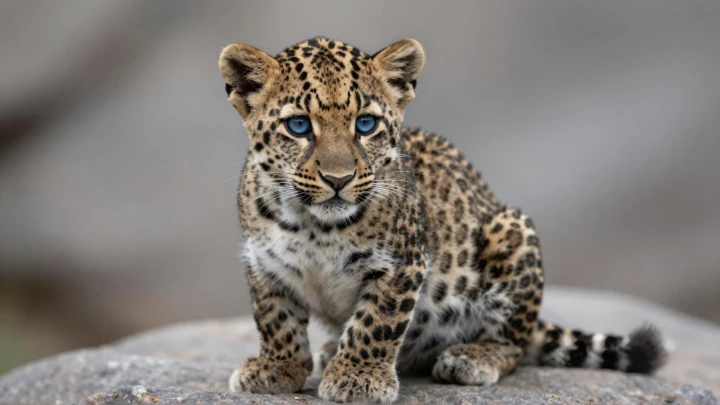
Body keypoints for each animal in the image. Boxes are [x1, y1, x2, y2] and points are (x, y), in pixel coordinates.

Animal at [217, 37, 667, 403]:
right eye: (298, 126)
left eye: (365, 124)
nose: (338, 179)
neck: (315, 225)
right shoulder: (263, 263)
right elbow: (276, 320)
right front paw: (278, 368)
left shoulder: (401, 264)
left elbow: (376, 323)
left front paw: (358, 377)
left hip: (511, 234)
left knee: (514, 345)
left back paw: (470, 358)